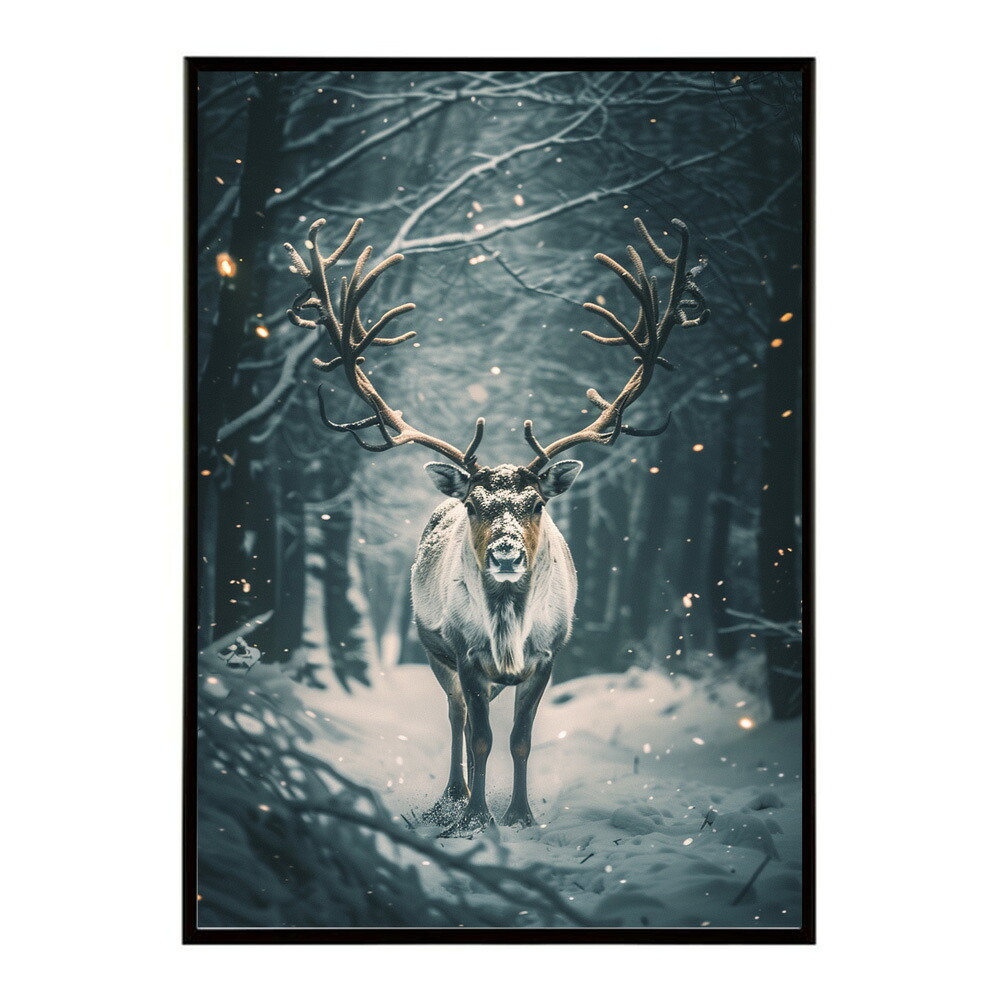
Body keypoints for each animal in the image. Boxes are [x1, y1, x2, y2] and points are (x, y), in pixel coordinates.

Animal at [282, 215, 709, 835]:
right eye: (476, 504)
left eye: (535, 503)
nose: (506, 553)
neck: (509, 631)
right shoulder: (465, 653)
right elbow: (481, 736)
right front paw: (478, 815)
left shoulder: (548, 656)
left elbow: (521, 739)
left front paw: (521, 815)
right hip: (434, 651)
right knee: (457, 715)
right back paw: (452, 796)